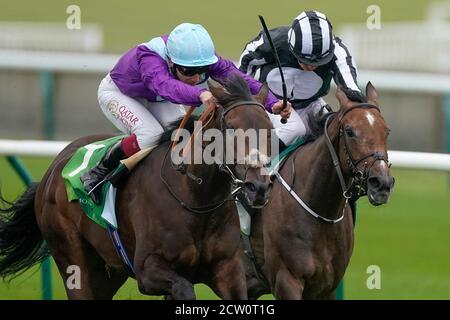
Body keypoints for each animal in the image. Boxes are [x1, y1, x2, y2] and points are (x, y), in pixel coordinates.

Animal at [0, 75, 274, 300]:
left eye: (269, 130)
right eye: (231, 128)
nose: (258, 187)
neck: (196, 199)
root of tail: (51, 171)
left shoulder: (228, 269)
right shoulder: (147, 270)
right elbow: (184, 288)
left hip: (108, 273)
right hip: (73, 261)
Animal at [243, 83, 394, 300]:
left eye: (386, 131)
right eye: (350, 131)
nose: (382, 183)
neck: (321, 211)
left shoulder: (326, 286)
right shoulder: (286, 280)